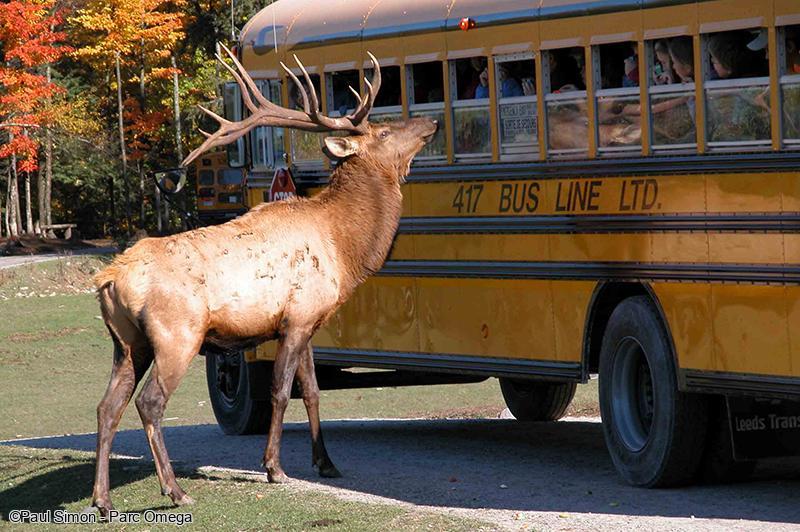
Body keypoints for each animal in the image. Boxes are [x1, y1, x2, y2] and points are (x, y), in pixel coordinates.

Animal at [90, 44, 438, 516]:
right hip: (176, 334)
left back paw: (102, 498)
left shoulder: (309, 321)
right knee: (149, 403)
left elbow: (312, 391)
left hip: (128, 343)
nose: (430, 123)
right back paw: (174, 490)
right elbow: (280, 392)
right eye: (384, 132)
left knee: (107, 407)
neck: (344, 246)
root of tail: (108, 280)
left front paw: (326, 463)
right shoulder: (295, 318)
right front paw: (274, 467)